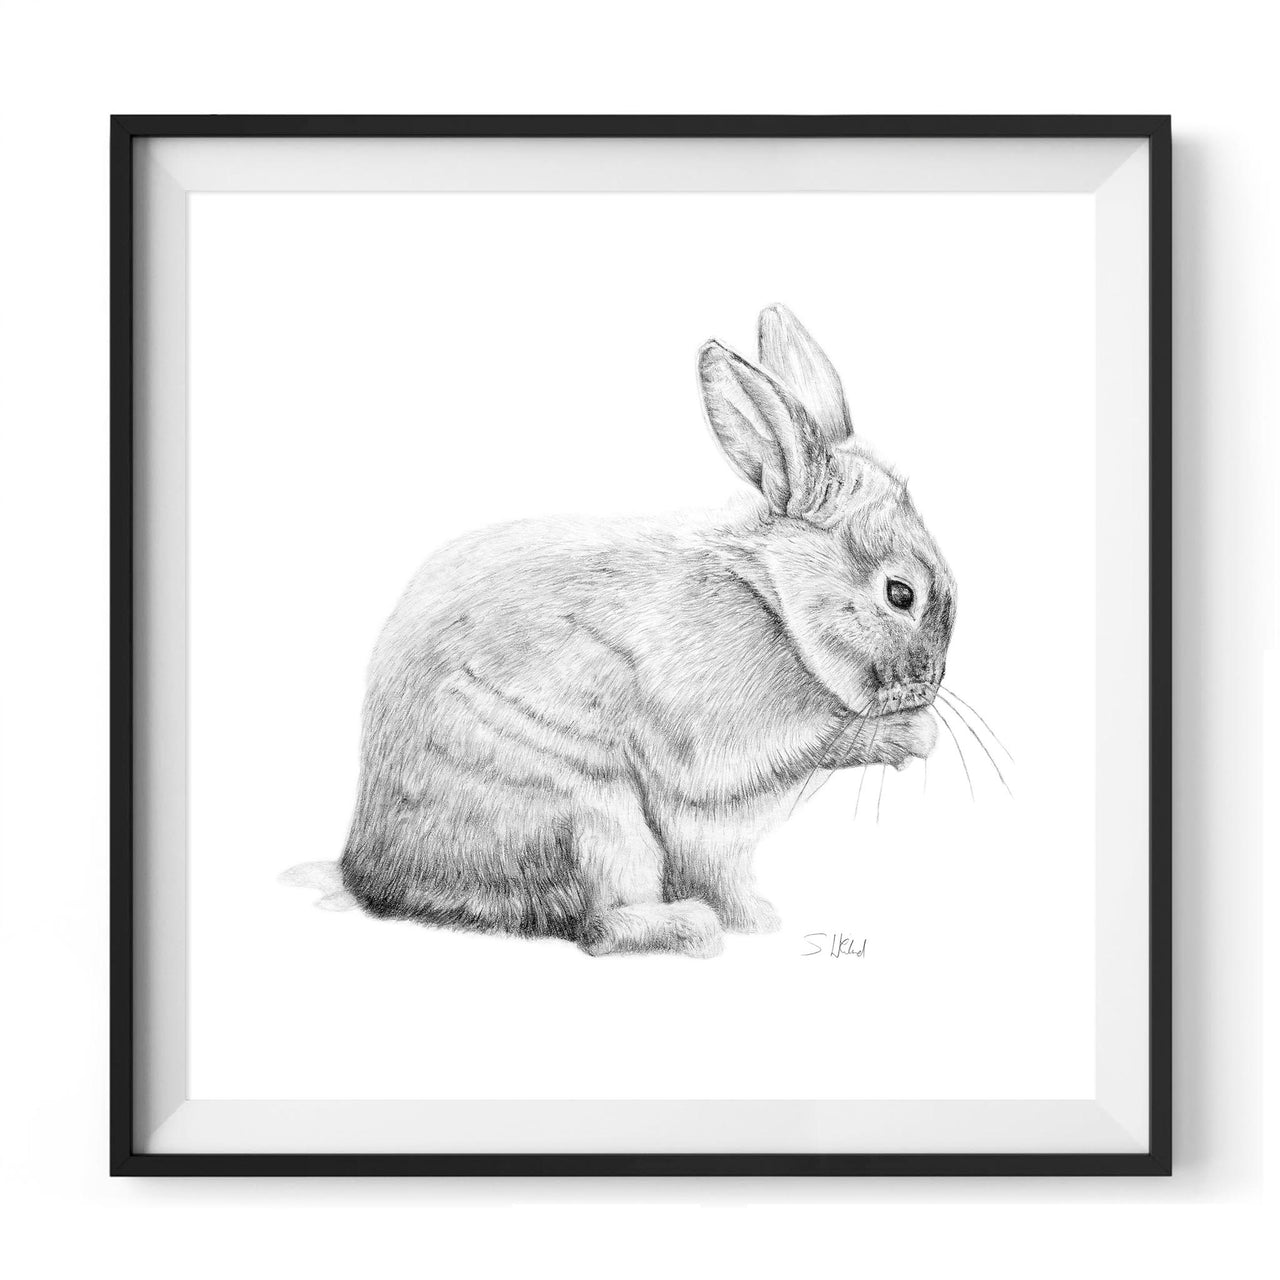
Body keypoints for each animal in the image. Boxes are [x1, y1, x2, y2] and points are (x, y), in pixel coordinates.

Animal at [339, 305, 955, 957]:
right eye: (900, 594)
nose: (930, 682)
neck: (773, 600)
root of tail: (369, 869)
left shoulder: (715, 842)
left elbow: (725, 877)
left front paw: (758, 921)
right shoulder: (724, 754)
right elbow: (810, 745)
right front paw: (911, 734)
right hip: (590, 816)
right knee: (599, 927)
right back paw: (689, 929)